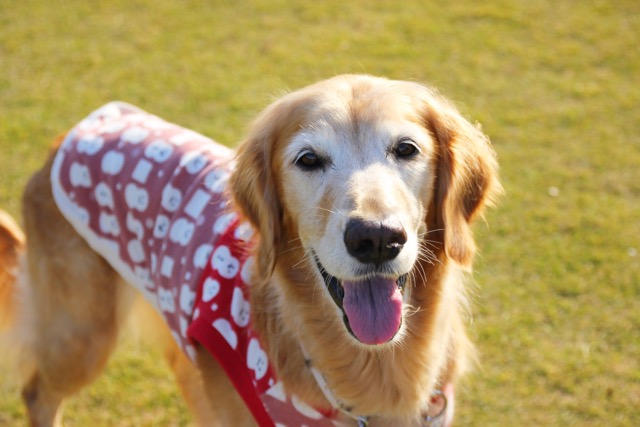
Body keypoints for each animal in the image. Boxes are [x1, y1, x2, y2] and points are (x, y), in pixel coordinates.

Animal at [0, 74, 500, 426]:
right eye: (308, 159)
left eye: (406, 149)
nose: (375, 238)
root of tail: (71, 134)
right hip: (81, 335)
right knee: (37, 394)